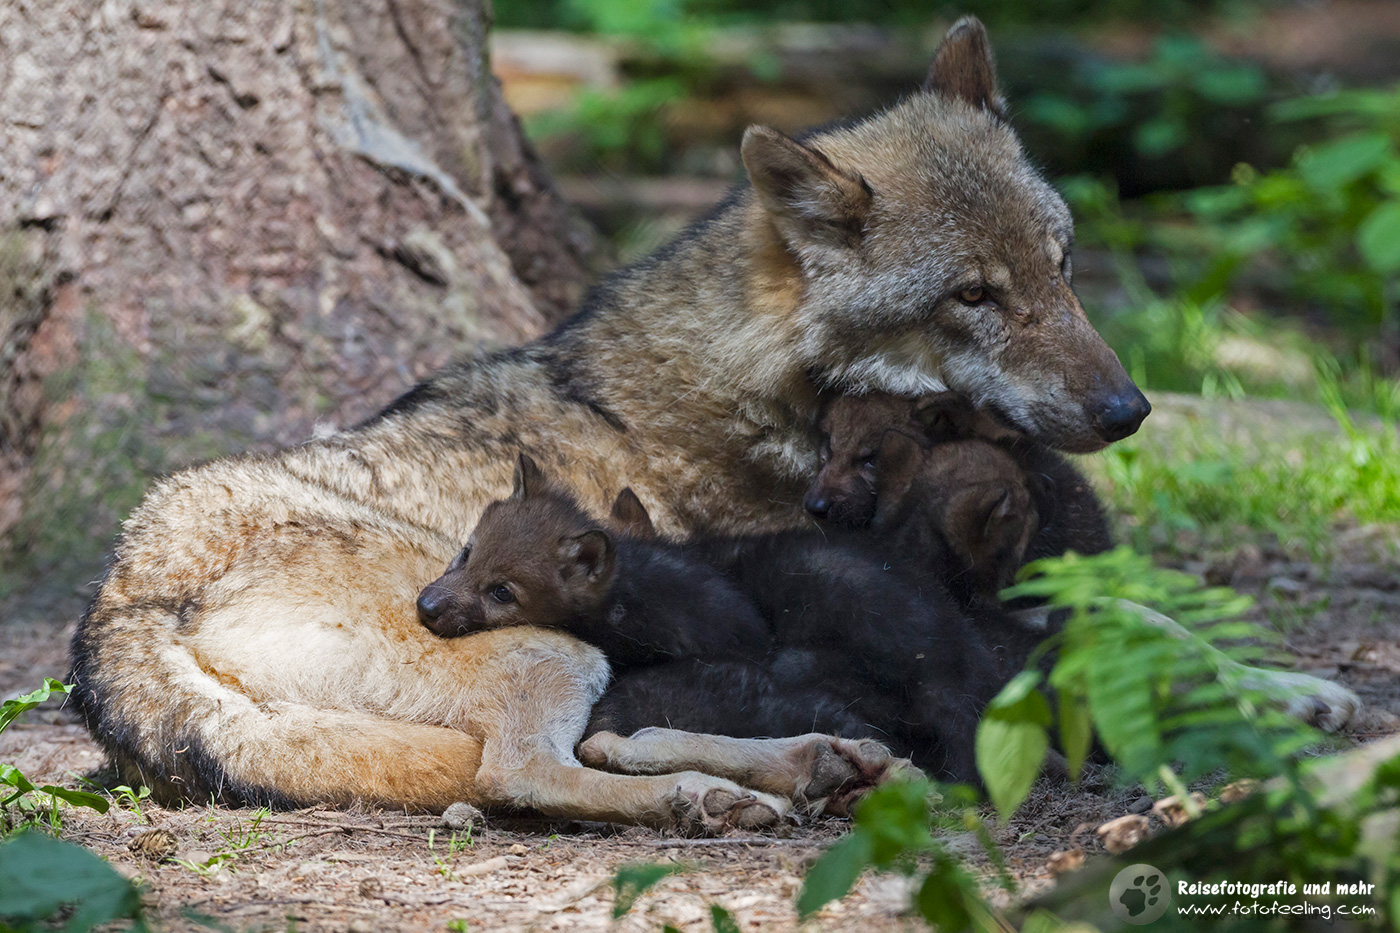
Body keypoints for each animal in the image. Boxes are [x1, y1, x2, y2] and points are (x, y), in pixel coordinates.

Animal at [69, 16, 1157, 827]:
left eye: (1060, 266)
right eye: (973, 296)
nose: (1128, 409)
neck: (765, 392)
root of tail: (124, 598)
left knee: (586, 748)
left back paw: (801, 767)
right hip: (555, 649)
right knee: (525, 770)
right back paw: (725, 788)